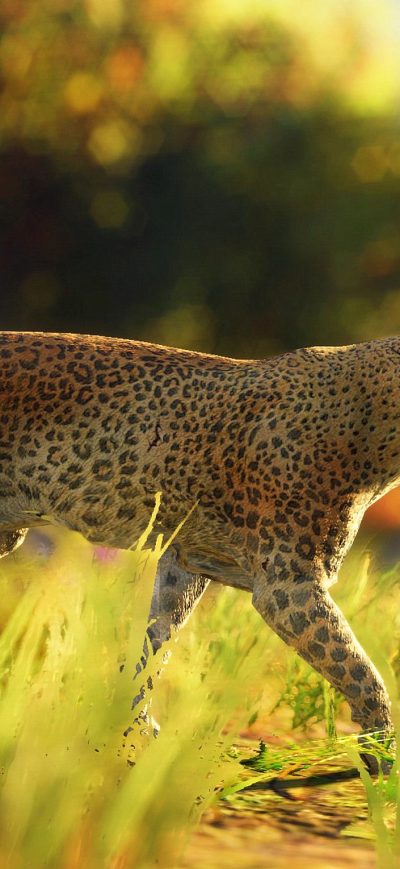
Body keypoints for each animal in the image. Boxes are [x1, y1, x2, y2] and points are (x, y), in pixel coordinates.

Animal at [0, 329, 398, 768]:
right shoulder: (287, 585)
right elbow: (359, 669)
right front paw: (382, 754)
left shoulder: (187, 563)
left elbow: (155, 646)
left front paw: (135, 735)